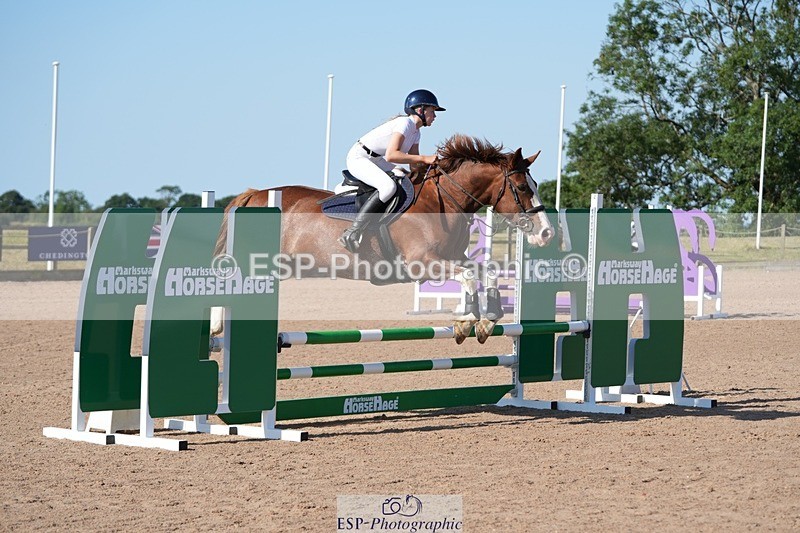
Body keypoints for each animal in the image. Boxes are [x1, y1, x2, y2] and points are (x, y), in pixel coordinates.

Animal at [213, 134, 554, 344]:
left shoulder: (453, 258)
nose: (546, 232)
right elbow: (470, 276)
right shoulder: (422, 264)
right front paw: (468, 319)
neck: (443, 201)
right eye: (522, 188)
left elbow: (487, 270)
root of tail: (254, 194)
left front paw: (485, 322)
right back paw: (217, 328)